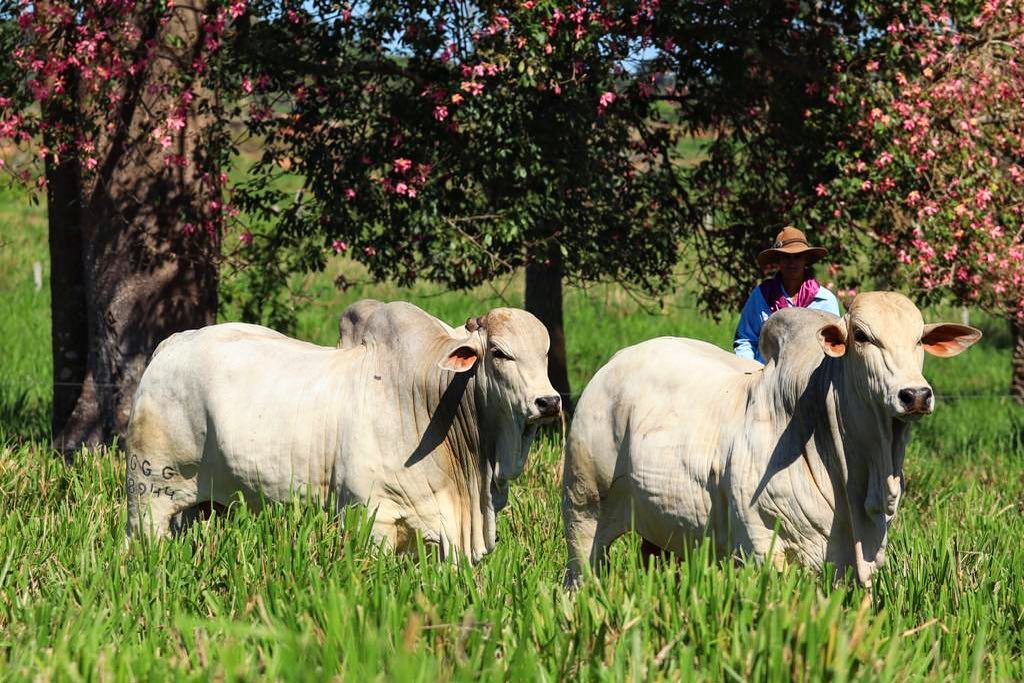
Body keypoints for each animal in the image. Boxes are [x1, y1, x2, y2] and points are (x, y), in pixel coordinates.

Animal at [125, 301, 569, 565]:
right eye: (499, 353)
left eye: (545, 353)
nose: (548, 402)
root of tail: (170, 345)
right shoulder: (371, 513)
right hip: (149, 495)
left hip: (197, 505)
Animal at [565, 294, 978, 589]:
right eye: (861, 336)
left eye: (919, 339)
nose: (915, 395)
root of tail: (612, 364)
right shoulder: (761, 547)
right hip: (583, 507)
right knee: (580, 573)